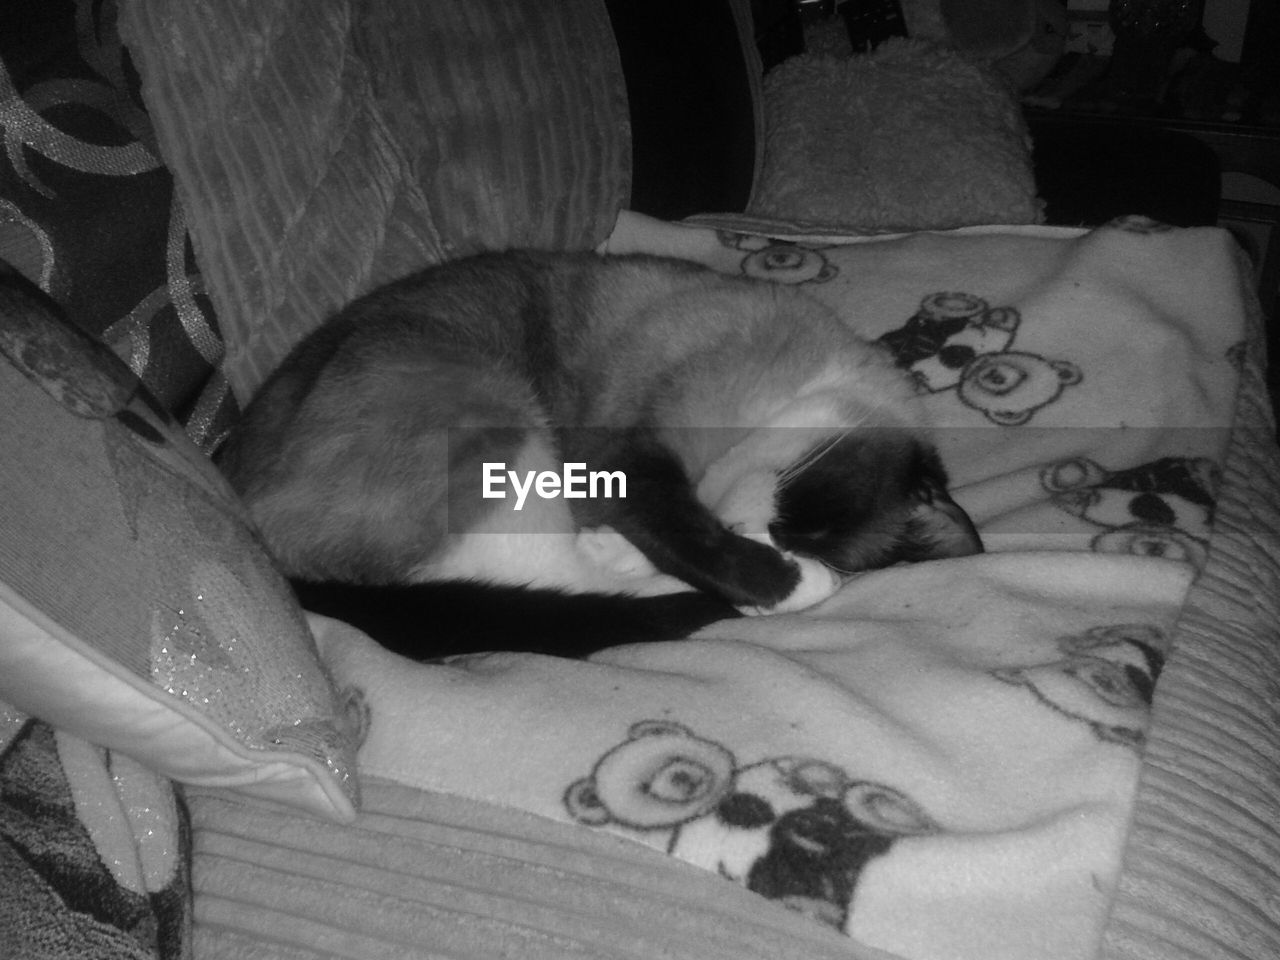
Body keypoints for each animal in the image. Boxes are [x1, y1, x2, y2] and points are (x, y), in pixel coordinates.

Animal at [220, 249, 977, 660]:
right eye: (803, 520)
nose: (763, 538)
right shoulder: (636, 456)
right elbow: (689, 535)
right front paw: (790, 582)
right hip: (500, 423)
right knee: (549, 577)